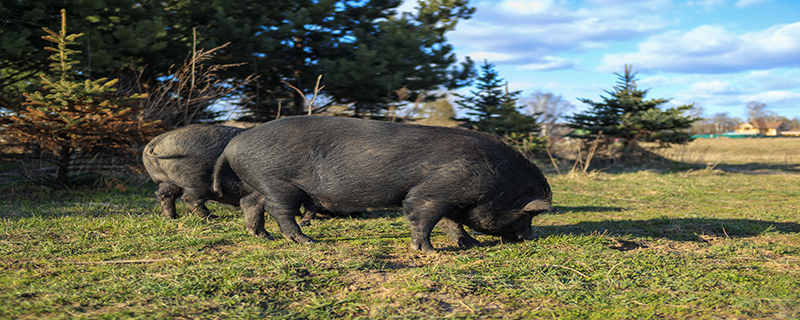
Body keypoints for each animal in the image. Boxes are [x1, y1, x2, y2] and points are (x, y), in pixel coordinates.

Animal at [211, 115, 556, 252]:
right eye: (527, 214)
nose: (531, 237)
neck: (497, 181)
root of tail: (234, 145)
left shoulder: (452, 197)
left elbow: (452, 223)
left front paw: (471, 245)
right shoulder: (435, 190)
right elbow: (423, 215)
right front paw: (428, 251)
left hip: (259, 181)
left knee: (249, 202)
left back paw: (262, 237)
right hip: (278, 182)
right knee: (279, 210)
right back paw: (306, 241)